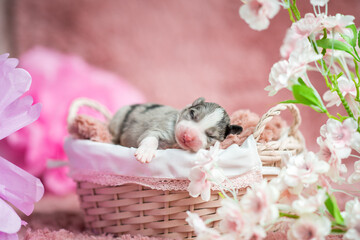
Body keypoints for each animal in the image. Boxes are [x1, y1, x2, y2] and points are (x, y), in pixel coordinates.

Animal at [108, 97, 243, 163]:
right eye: (192, 114)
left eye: (211, 136)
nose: (187, 136)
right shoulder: (160, 128)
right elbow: (151, 137)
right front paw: (145, 152)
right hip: (119, 118)